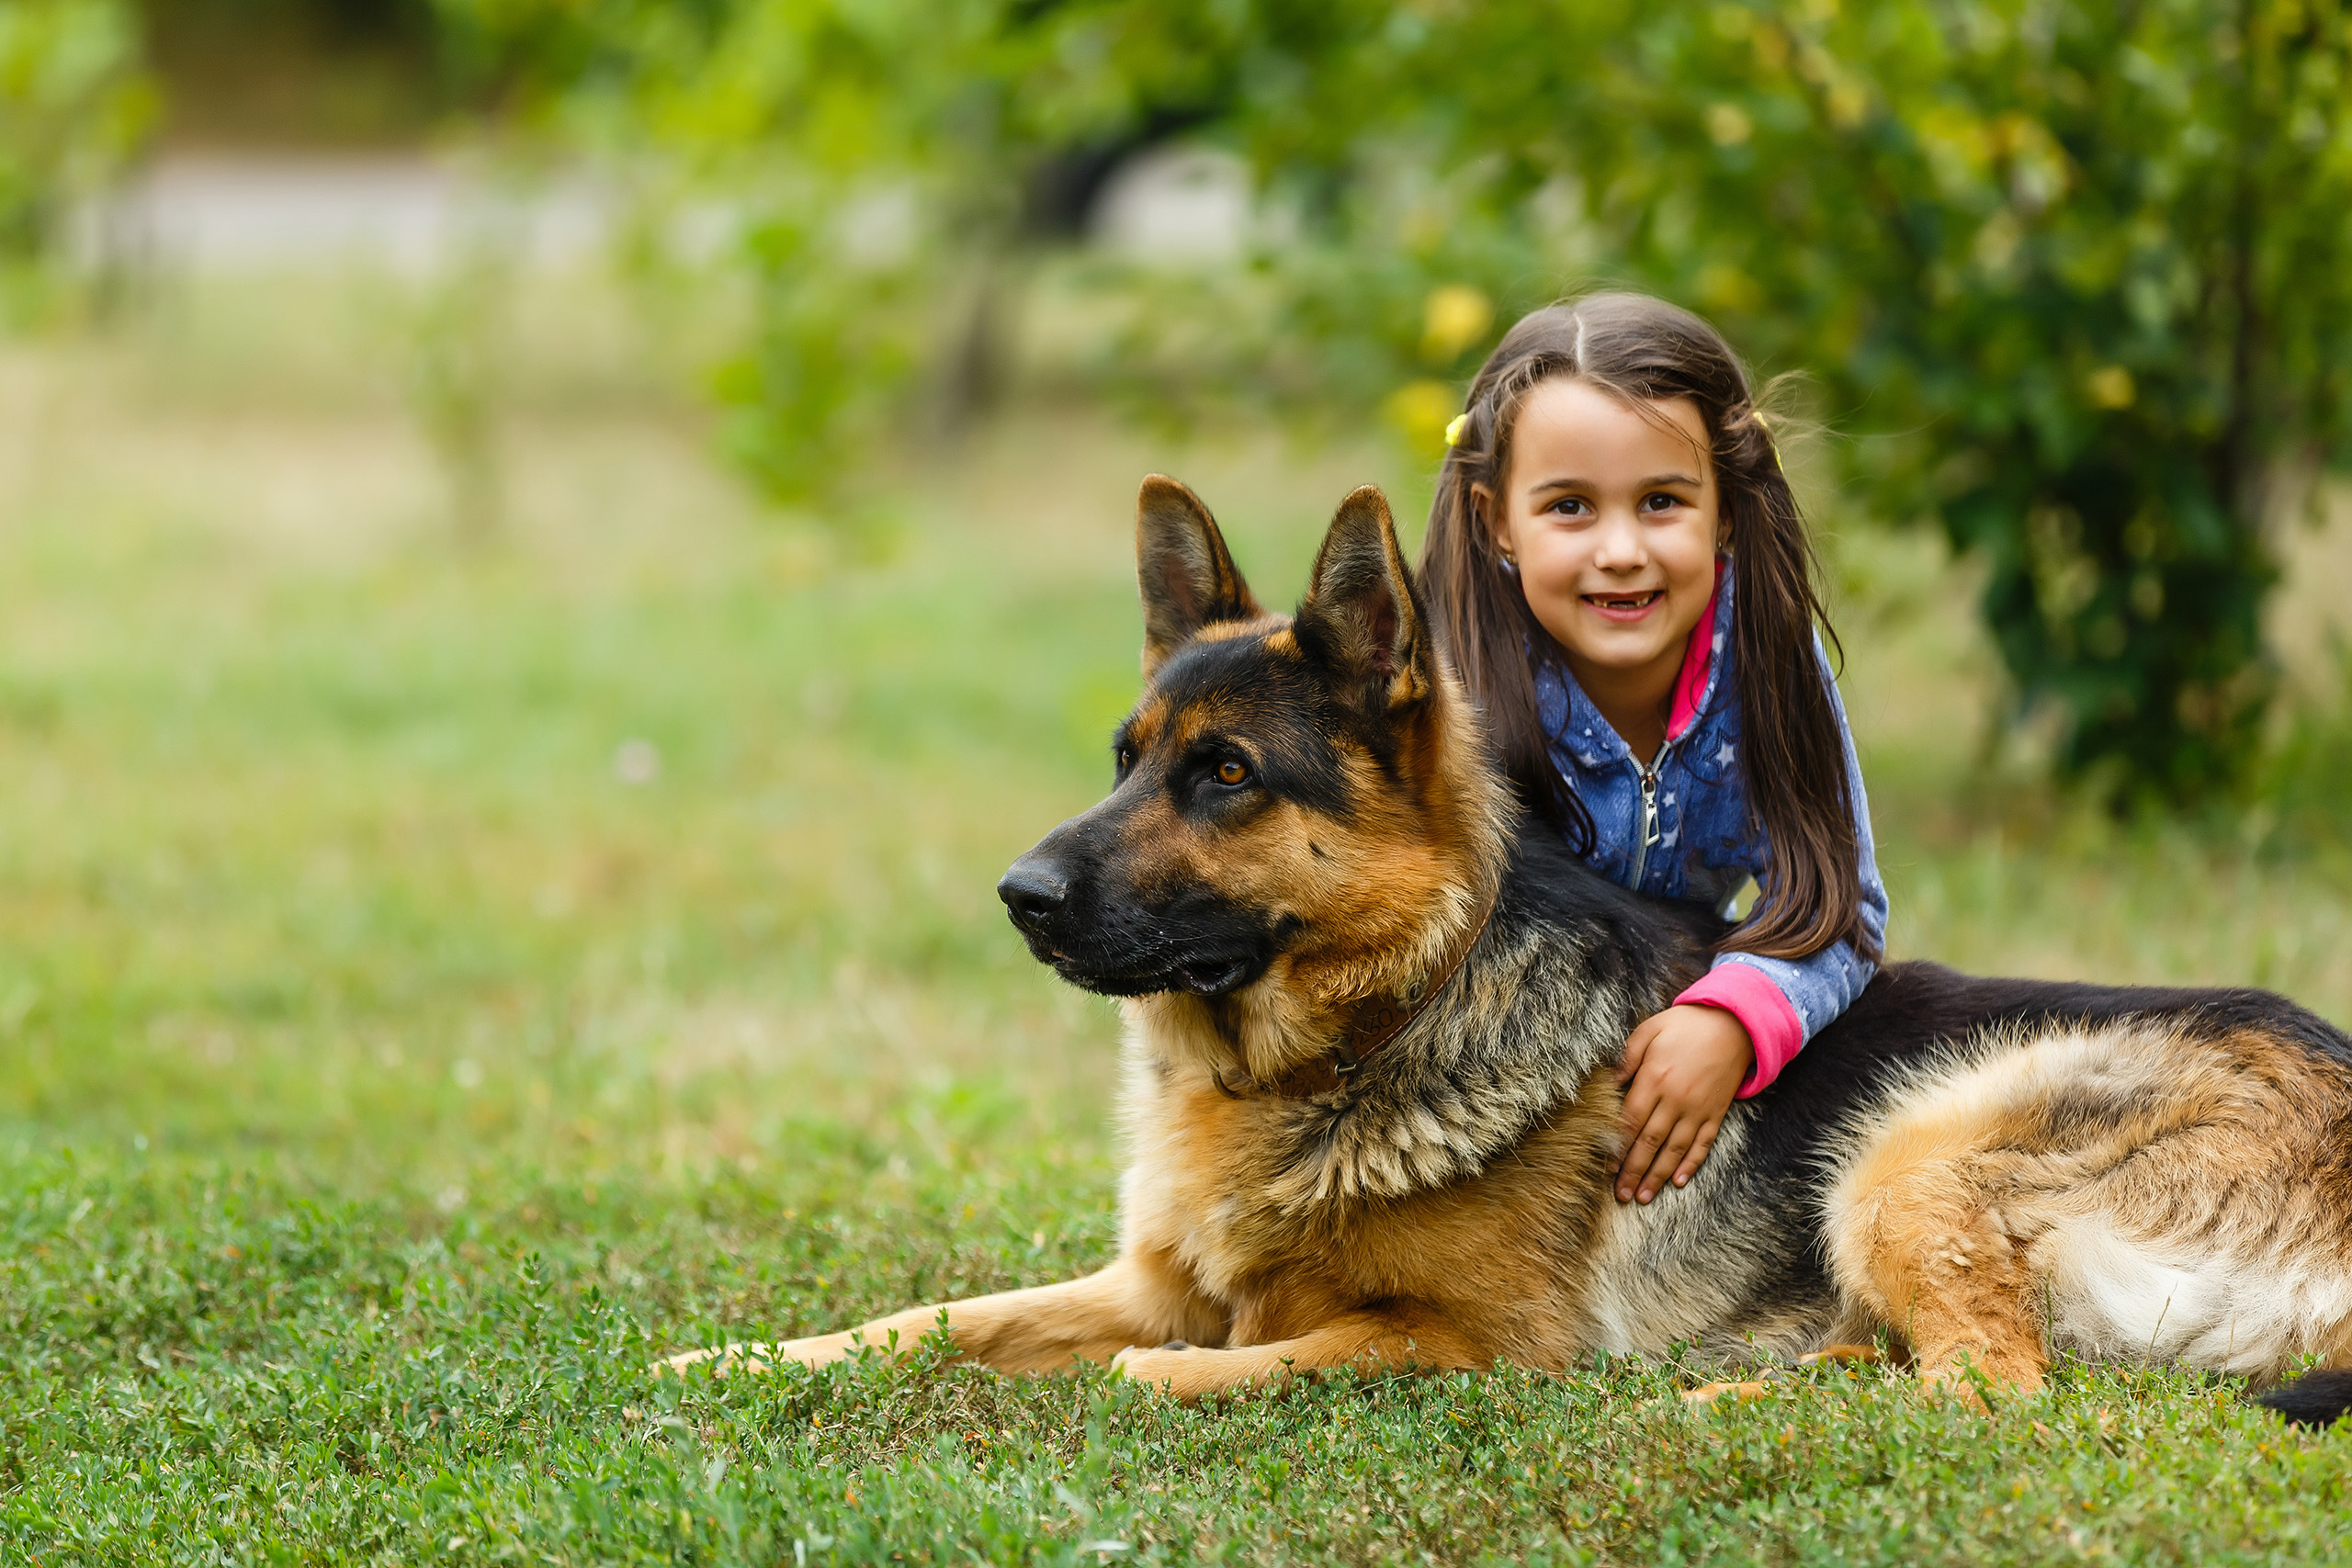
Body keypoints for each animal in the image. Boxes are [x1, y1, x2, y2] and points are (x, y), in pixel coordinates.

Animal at [662, 479, 2352, 1419]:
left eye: (1227, 775)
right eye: (1128, 757)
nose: (1016, 895)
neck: (1373, 1026)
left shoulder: (1478, 1339)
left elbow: (1260, 1351)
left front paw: (1173, 1377)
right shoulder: (1142, 1278)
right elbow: (928, 1320)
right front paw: (730, 1359)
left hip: (1914, 1140)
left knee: (1993, 1391)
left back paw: (1724, 1404)